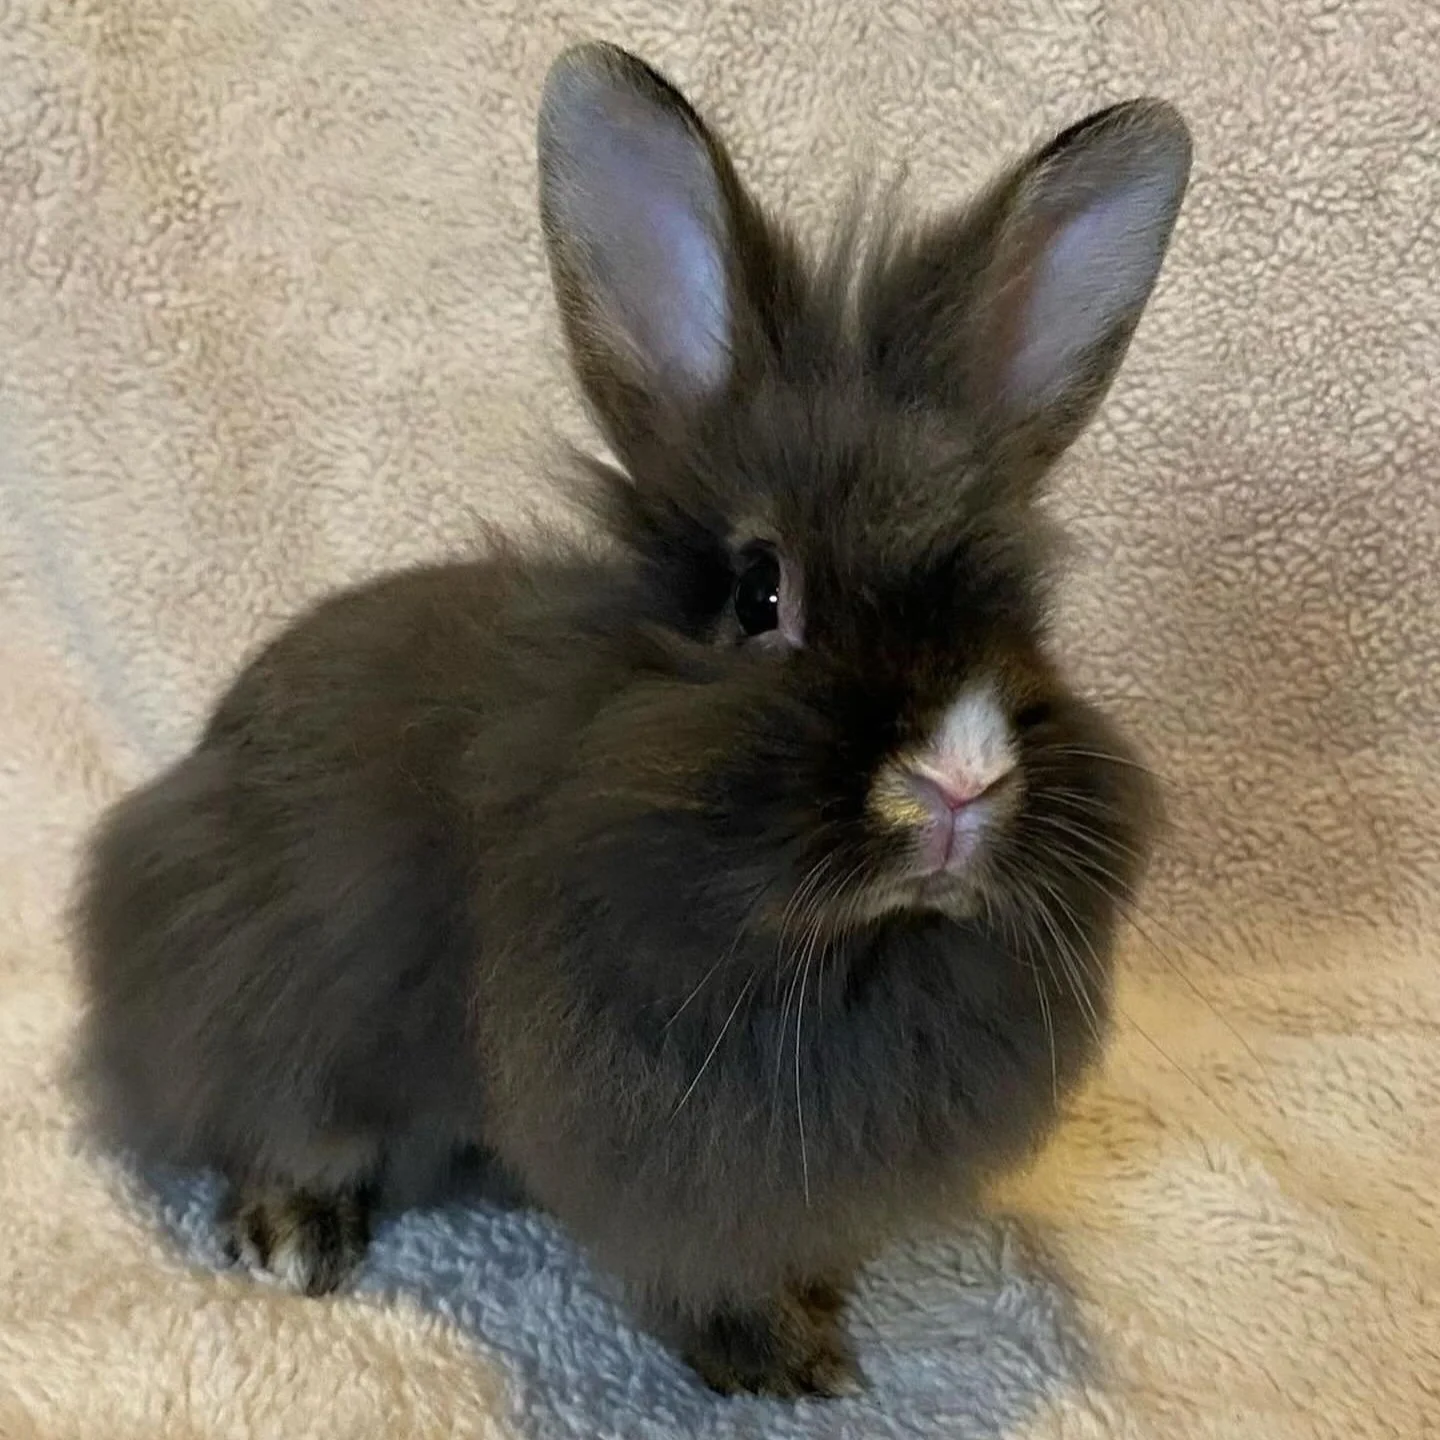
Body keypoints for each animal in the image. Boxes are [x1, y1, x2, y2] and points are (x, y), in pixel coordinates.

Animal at [74, 40, 1189, 1398]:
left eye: (1024, 613)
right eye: (762, 592)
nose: (961, 780)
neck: (849, 954)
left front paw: (819, 1314)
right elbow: (692, 1265)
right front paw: (776, 1362)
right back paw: (293, 1237)